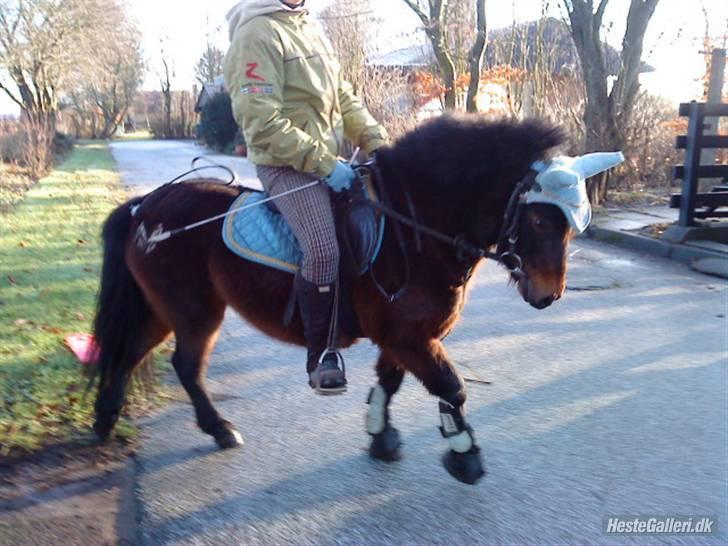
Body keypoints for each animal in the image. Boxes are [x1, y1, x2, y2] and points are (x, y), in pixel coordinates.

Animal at [91, 113, 572, 480]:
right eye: (539, 221)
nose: (549, 295)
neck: (412, 230)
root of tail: (146, 206)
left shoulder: (400, 338)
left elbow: (390, 381)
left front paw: (381, 436)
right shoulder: (410, 338)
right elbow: (451, 387)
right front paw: (465, 455)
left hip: (162, 311)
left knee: (129, 353)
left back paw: (105, 419)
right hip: (194, 313)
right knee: (186, 367)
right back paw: (219, 429)